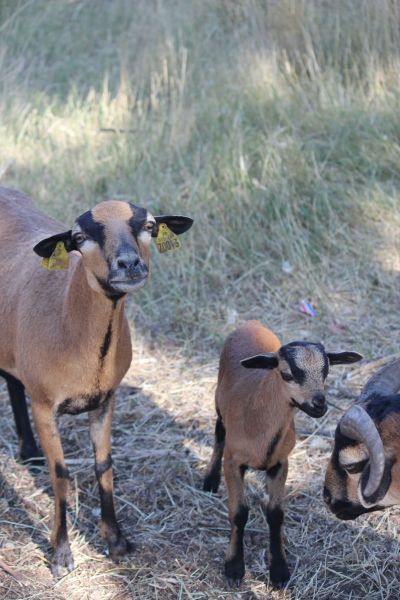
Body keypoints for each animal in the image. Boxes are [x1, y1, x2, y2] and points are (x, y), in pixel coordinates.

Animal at [0, 185, 192, 576]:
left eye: (150, 225)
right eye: (78, 238)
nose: (129, 264)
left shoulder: (106, 398)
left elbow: (104, 465)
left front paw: (116, 541)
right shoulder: (44, 404)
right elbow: (60, 473)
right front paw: (61, 554)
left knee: (12, 381)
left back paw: (29, 453)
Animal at [203, 322, 362, 588]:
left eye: (326, 372)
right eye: (287, 374)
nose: (319, 404)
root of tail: (251, 323)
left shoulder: (280, 463)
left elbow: (276, 515)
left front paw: (278, 569)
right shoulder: (233, 462)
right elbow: (239, 513)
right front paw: (234, 566)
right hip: (218, 400)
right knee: (219, 433)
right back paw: (210, 480)